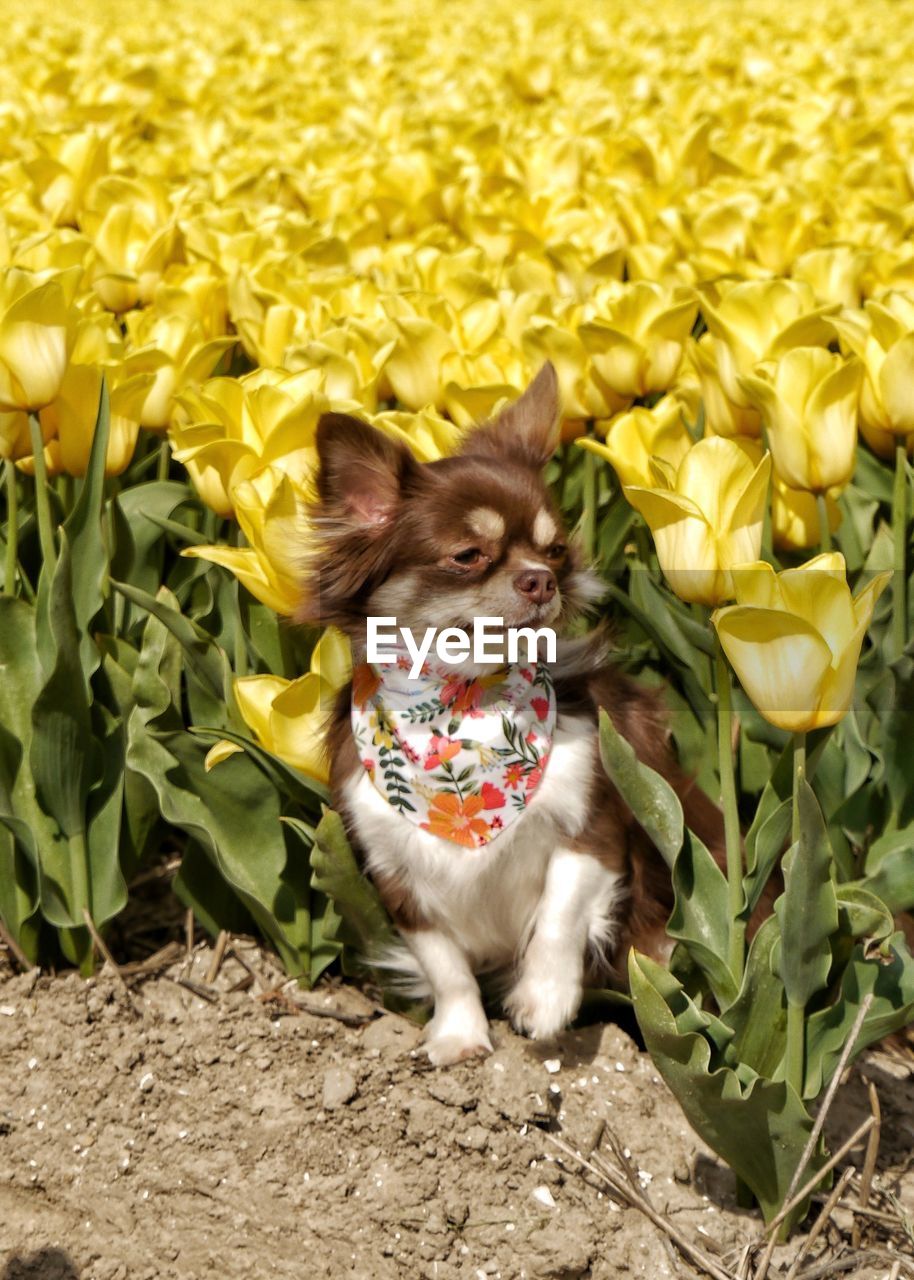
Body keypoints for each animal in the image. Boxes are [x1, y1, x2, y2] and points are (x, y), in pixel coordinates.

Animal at [302, 363, 721, 1070]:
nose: (539, 580)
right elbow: (443, 963)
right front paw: (459, 1034)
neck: (463, 710)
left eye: (553, 553)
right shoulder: (395, 872)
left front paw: (543, 1000)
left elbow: (559, 912)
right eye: (468, 555)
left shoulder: (595, 824)